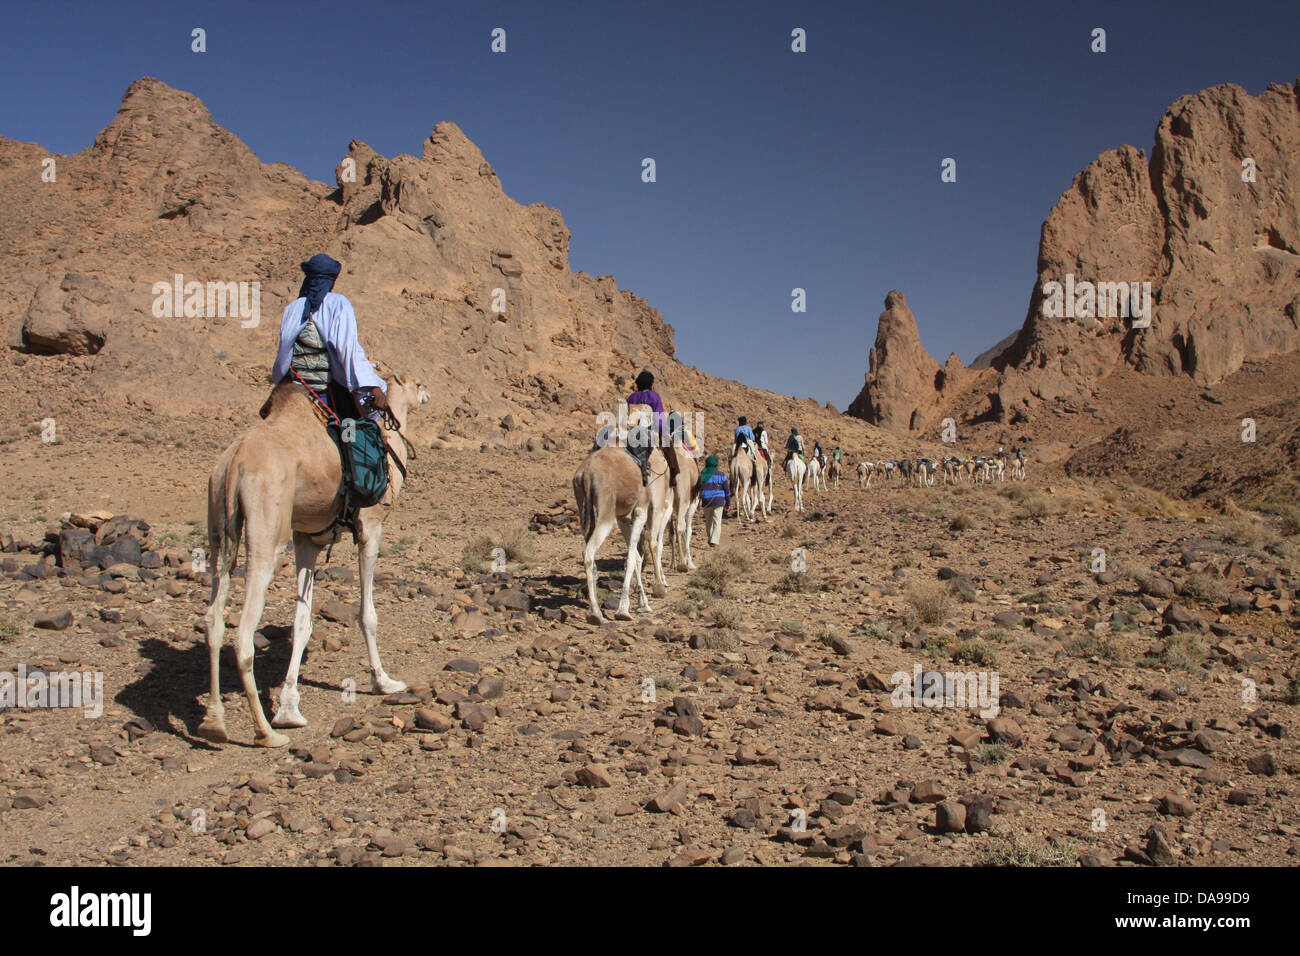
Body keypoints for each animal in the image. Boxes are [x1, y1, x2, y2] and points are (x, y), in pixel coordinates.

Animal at [197, 371, 428, 749]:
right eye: (416, 383)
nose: (427, 393)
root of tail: (236, 461)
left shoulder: (307, 540)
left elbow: (302, 623)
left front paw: (290, 707)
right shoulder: (371, 529)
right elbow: (368, 615)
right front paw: (384, 682)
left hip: (218, 523)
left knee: (214, 618)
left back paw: (214, 722)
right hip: (267, 535)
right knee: (242, 633)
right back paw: (266, 732)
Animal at [572, 434, 670, 629]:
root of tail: (586, 473)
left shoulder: (623, 517)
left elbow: (636, 557)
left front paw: (643, 603)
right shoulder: (640, 511)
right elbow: (633, 557)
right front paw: (624, 610)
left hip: (584, 510)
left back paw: (594, 612)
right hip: (607, 515)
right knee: (588, 553)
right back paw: (596, 615)